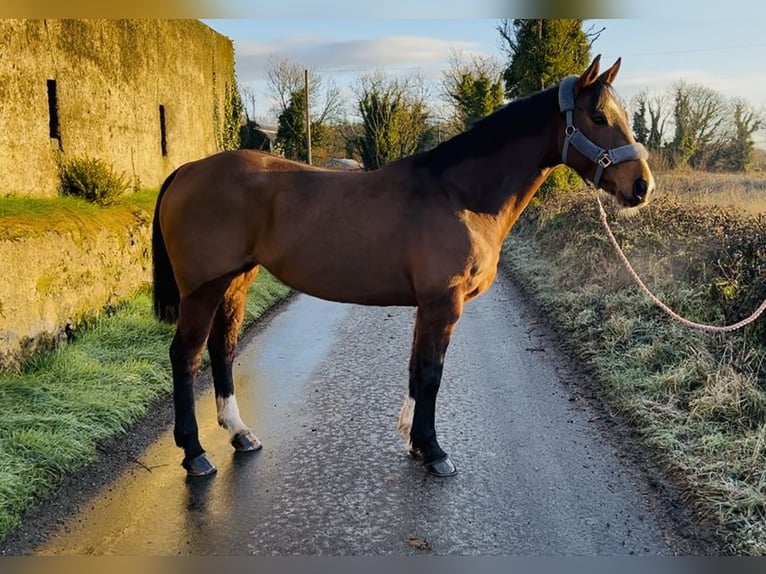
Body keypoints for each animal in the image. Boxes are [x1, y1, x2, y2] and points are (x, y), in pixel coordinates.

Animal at [152, 55, 654, 477]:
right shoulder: (442, 303)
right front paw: (434, 451)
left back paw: (240, 435)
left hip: (236, 281)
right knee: (186, 356)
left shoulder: (427, 306)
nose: (642, 186)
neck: (460, 194)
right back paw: (195, 454)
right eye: (598, 118)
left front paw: (416, 442)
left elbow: (417, 371)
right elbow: (431, 373)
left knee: (223, 349)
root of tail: (187, 170)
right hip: (202, 290)